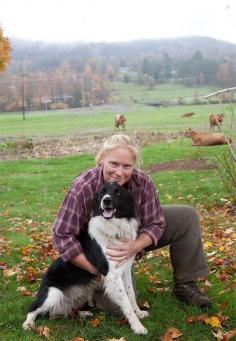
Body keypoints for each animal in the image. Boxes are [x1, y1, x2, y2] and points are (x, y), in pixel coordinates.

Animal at [22, 182, 148, 334]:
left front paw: (139, 313)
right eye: (102, 192)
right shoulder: (112, 275)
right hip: (53, 295)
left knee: (62, 311)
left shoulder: (125, 269)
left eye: (117, 192)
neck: (113, 227)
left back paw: (83, 313)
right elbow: (125, 302)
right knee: (33, 308)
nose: (106, 200)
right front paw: (137, 326)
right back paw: (28, 324)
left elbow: (131, 295)